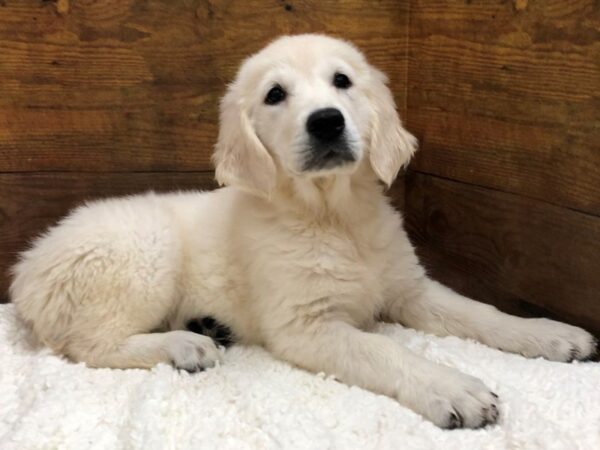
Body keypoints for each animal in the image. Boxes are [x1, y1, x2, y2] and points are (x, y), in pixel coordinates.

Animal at [9, 34, 596, 428]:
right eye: (275, 95)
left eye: (342, 81)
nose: (327, 121)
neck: (333, 216)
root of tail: (27, 269)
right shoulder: (306, 325)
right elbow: (386, 352)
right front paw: (453, 388)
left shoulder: (409, 289)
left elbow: (481, 312)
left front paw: (551, 334)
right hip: (144, 256)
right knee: (88, 345)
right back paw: (185, 346)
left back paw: (204, 328)